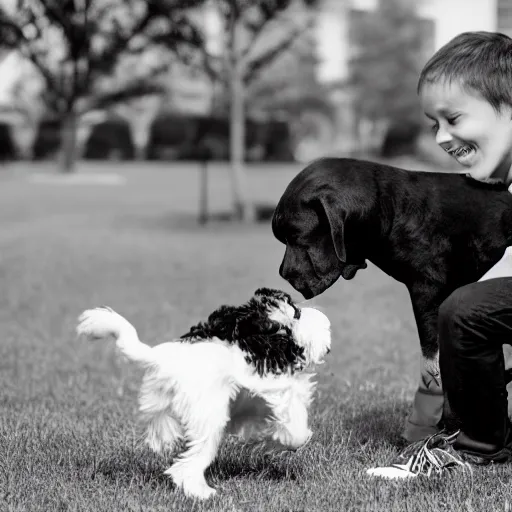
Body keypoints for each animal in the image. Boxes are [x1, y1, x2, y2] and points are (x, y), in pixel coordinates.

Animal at [76, 288, 332, 500]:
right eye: (296, 313)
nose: (310, 313)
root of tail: (162, 357)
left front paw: (266, 440)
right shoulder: (280, 393)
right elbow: (296, 431)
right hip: (207, 419)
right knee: (190, 462)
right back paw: (201, 493)